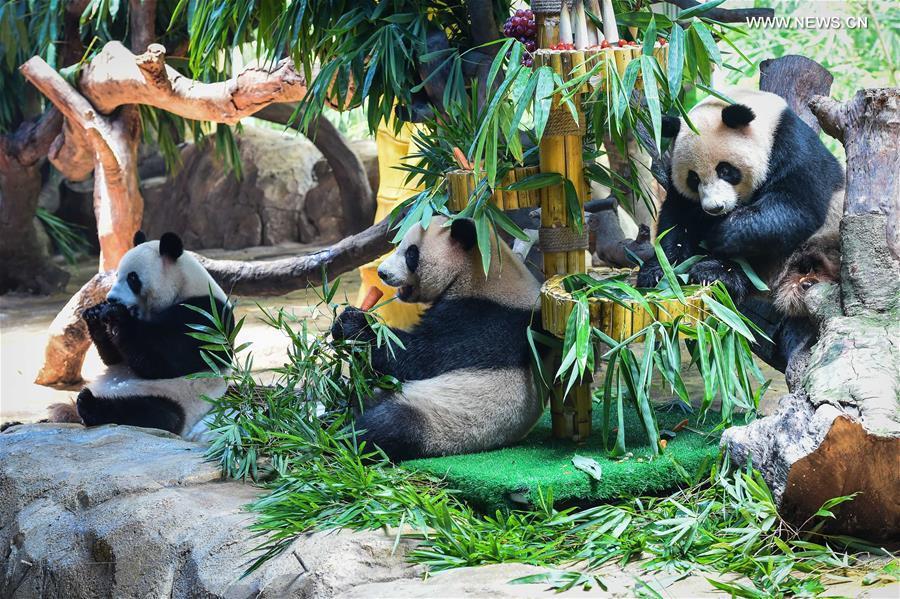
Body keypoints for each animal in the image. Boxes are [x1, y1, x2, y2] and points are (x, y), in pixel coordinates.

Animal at [51, 231, 234, 438]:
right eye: (116, 275)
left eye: (132, 278)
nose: (111, 299)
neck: (184, 285)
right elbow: (115, 358)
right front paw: (95, 314)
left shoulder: (206, 317)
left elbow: (162, 359)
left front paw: (116, 314)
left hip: (175, 396)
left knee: (155, 413)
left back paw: (90, 403)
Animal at [331, 216, 544, 461]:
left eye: (411, 253)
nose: (382, 273)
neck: (483, 270)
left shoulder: (483, 320)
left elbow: (418, 356)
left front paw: (354, 325)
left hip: (442, 419)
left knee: (386, 426)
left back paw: (337, 440)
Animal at [637, 89, 844, 304]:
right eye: (693, 178)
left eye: (725, 170)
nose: (715, 208)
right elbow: (677, 221)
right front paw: (659, 271)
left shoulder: (794, 148)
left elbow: (794, 208)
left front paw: (720, 234)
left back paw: (716, 272)